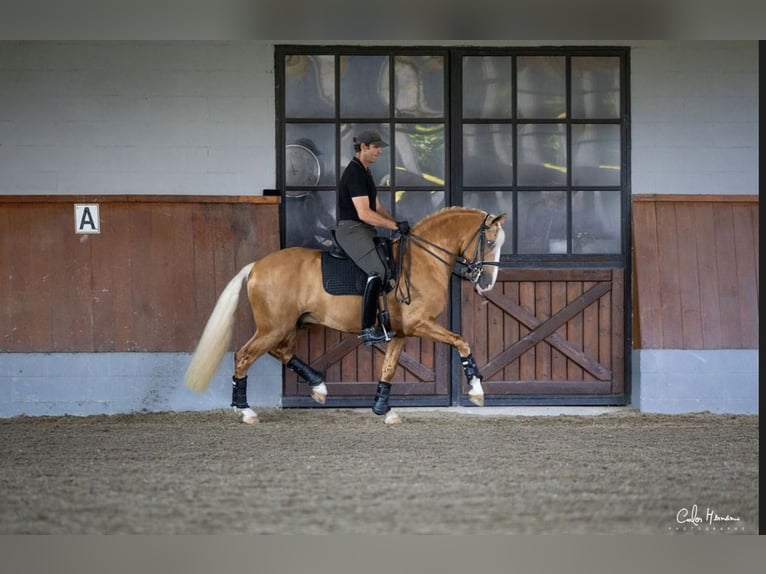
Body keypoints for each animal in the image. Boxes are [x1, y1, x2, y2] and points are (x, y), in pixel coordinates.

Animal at [184, 209, 510, 426]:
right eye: (490, 242)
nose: (487, 284)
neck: (423, 259)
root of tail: (256, 266)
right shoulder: (420, 324)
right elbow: (461, 341)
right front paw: (477, 389)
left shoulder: (402, 332)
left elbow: (389, 367)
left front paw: (384, 409)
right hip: (273, 326)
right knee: (244, 355)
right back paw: (246, 410)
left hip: (290, 325)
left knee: (281, 352)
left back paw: (318, 386)